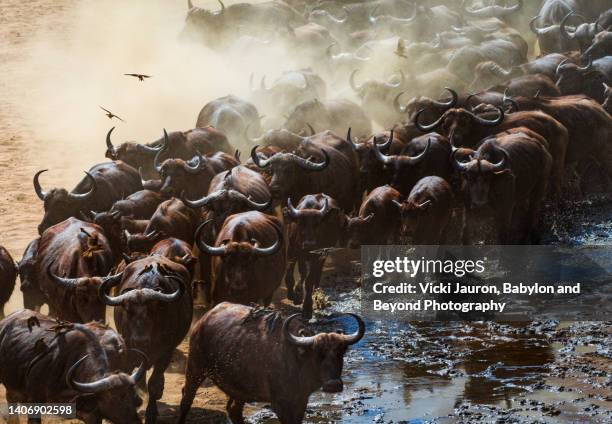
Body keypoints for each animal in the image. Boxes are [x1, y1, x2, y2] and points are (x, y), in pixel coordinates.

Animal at [99, 255, 190, 424]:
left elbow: (153, 383)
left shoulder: (166, 351)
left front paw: (150, 413)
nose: (139, 340)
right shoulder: (129, 348)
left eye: (153, 310)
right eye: (128, 310)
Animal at [177, 302, 364, 424]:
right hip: (195, 368)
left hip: (239, 387)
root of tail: (203, 320)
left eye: (340, 352)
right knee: (186, 398)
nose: (334, 385)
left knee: (233, 410)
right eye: (318, 353)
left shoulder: (301, 400)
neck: (297, 359)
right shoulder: (280, 404)